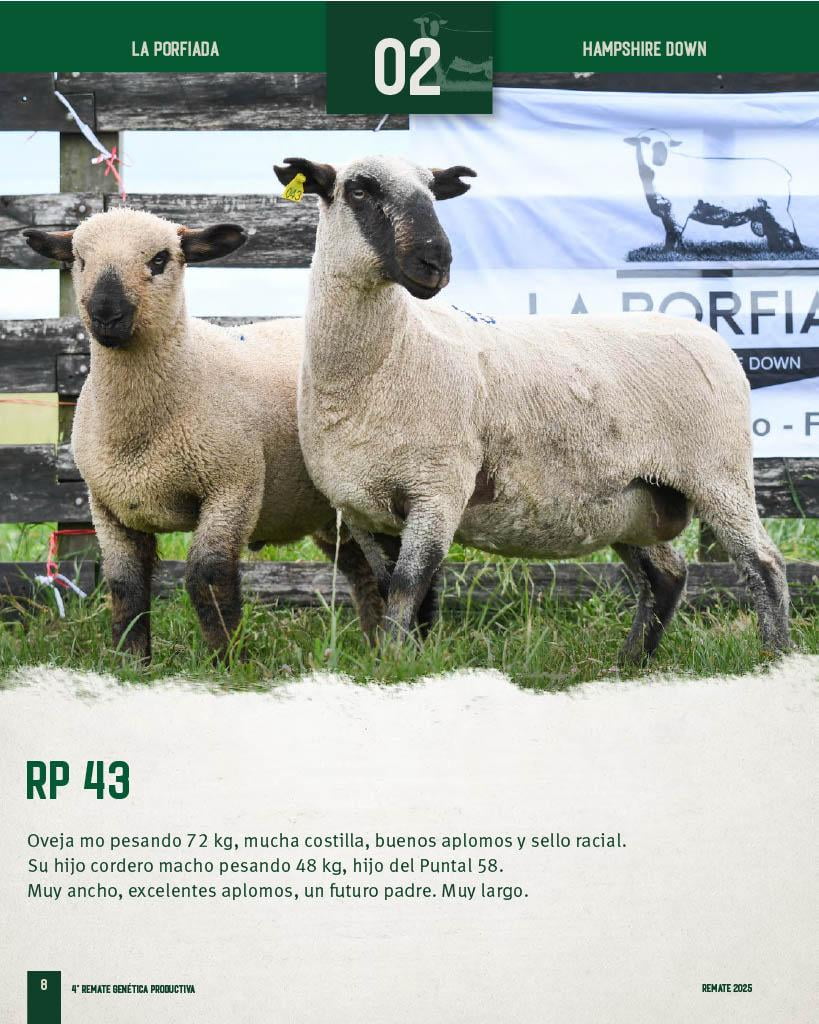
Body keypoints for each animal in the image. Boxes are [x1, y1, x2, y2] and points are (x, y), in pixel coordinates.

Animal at [23, 207, 388, 661]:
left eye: (160, 259)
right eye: (79, 260)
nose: (106, 312)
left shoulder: (233, 486)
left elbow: (208, 575)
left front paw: (226, 659)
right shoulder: (108, 506)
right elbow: (125, 585)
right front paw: (132, 662)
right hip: (328, 509)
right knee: (362, 569)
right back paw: (376, 644)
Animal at [273, 154, 790, 661]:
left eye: (432, 192)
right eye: (359, 190)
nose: (435, 260)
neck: (387, 358)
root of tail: (712, 338)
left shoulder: (438, 491)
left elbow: (406, 588)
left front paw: (397, 665)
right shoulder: (360, 510)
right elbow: (395, 592)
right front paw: (405, 662)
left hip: (719, 474)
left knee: (764, 564)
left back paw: (775, 657)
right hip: (634, 499)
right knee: (666, 573)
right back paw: (631, 662)